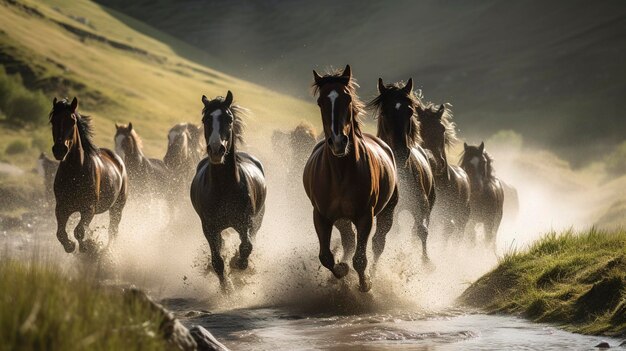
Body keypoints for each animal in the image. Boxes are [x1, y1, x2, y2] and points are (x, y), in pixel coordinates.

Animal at [49, 97, 127, 254]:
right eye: (53, 120)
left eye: (72, 120)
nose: (59, 150)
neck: (75, 171)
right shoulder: (61, 207)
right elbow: (60, 233)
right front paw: (70, 246)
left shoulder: (88, 208)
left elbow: (79, 231)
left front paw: (86, 247)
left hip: (117, 207)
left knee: (112, 231)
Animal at [189, 91, 264, 292]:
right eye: (205, 119)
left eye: (229, 119)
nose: (216, 149)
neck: (224, 187)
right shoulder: (209, 227)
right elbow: (217, 261)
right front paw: (227, 290)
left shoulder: (245, 222)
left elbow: (246, 247)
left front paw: (238, 264)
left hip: (257, 220)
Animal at [302, 64, 394, 292]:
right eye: (321, 101)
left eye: (348, 98)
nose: (338, 142)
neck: (340, 172)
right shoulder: (322, 216)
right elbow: (326, 257)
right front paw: (342, 270)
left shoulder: (365, 216)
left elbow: (360, 259)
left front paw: (365, 283)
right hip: (341, 220)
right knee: (349, 241)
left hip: (387, 212)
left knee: (378, 244)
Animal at [366, 79, 434, 262]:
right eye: (384, 112)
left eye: (410, 111)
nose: (400, 152)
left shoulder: (422, 206)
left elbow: (422, 231)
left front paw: (426, 262)